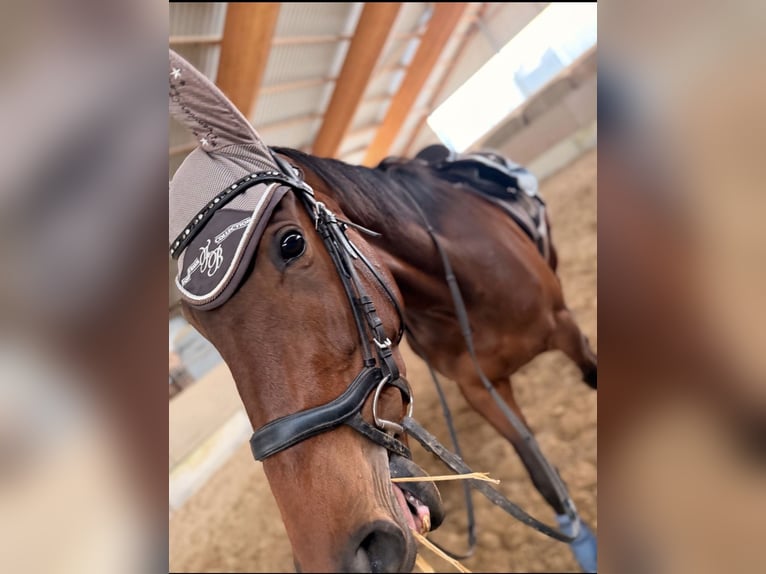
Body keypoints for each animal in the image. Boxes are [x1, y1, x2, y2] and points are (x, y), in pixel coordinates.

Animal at [169, 49, 596, 572]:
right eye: (196, 325)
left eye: (291, 244)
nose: (332, 557)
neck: (457, 282)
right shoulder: (481, 388)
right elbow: (544, 479)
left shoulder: (568, 330)